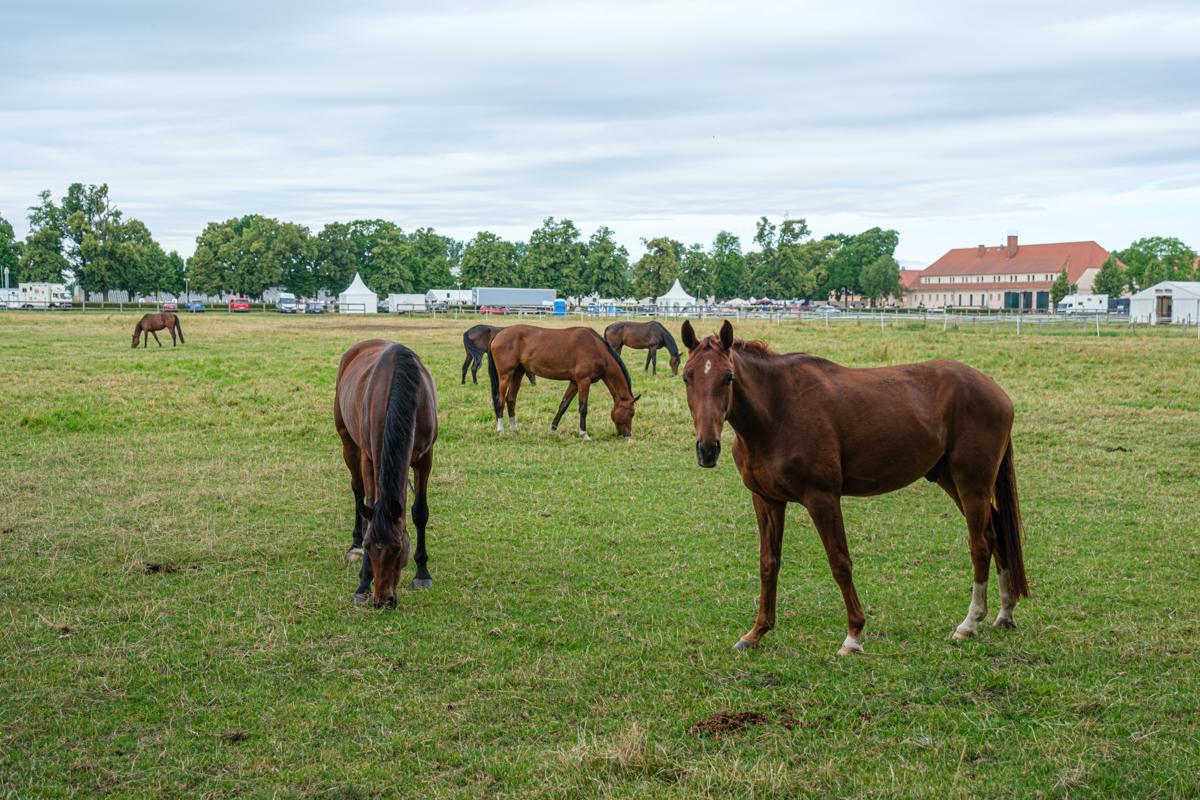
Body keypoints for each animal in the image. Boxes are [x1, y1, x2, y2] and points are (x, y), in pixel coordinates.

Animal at [334, 339, 438, 607]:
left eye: (398, 548)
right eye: (370, 546)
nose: (383, 600)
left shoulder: (425, 458)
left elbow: (420, 512)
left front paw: (422, 572)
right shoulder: (369, 457)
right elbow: (370, 503)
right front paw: (363, 583)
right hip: (348, 442)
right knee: (358, 491)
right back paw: (354, 544)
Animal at [487, 324, 640, 439]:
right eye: (631, 413)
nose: (628, 435)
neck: (596, 348)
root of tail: (498, 334)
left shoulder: (575, 382)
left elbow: (564, 405)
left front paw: (552, 428)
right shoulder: (584, 381)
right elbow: (583, 408)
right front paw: (584, 434)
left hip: (518, 373)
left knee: (511, 399)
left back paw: (513, 429)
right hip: (506, 375)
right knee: (500, 400)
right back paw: (501, 430)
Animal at [679, 320, 1028, 656]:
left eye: (728, 378)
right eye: (687, 377)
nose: (707, 449)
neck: (778, 412)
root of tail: (995, 390)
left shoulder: (822, 498)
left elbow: (840, 563)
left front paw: (853, 635)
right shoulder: (766, 500)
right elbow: (769, 564)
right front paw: (756, 633)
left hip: (972, 484)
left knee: (980, 544)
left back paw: (969, 623)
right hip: (951, 480)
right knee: (997, 534)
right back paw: (1005, 612)